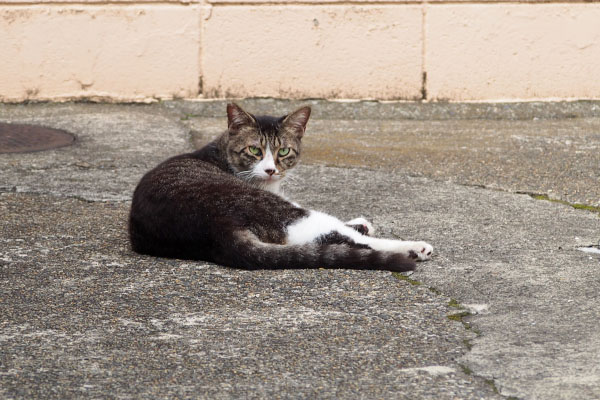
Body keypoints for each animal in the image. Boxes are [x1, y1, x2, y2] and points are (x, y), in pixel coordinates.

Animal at [129, 103, 434, 272]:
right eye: (254, 150)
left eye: (283, 151)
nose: (270, 169)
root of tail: (216, 229)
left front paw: (360, 222)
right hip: (284, 212)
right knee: (349, 240)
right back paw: (413, 249)